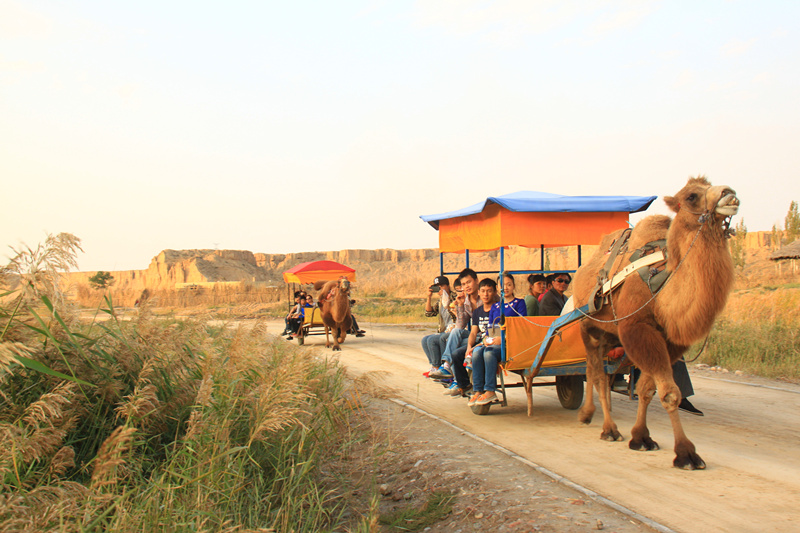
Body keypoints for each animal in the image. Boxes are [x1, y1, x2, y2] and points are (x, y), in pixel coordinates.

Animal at [572, 177, 740, 468]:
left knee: (598, 373)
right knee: (597, 375)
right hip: (588, 327)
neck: (662, 286)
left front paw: (641, 437)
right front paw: (686, 453)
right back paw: (607, 428)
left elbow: (647, 388)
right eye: (692, 196)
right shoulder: (638, 329)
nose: (729, 194)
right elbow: (670, 393)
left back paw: (592, 416)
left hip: (609, 335)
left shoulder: (669, 340)